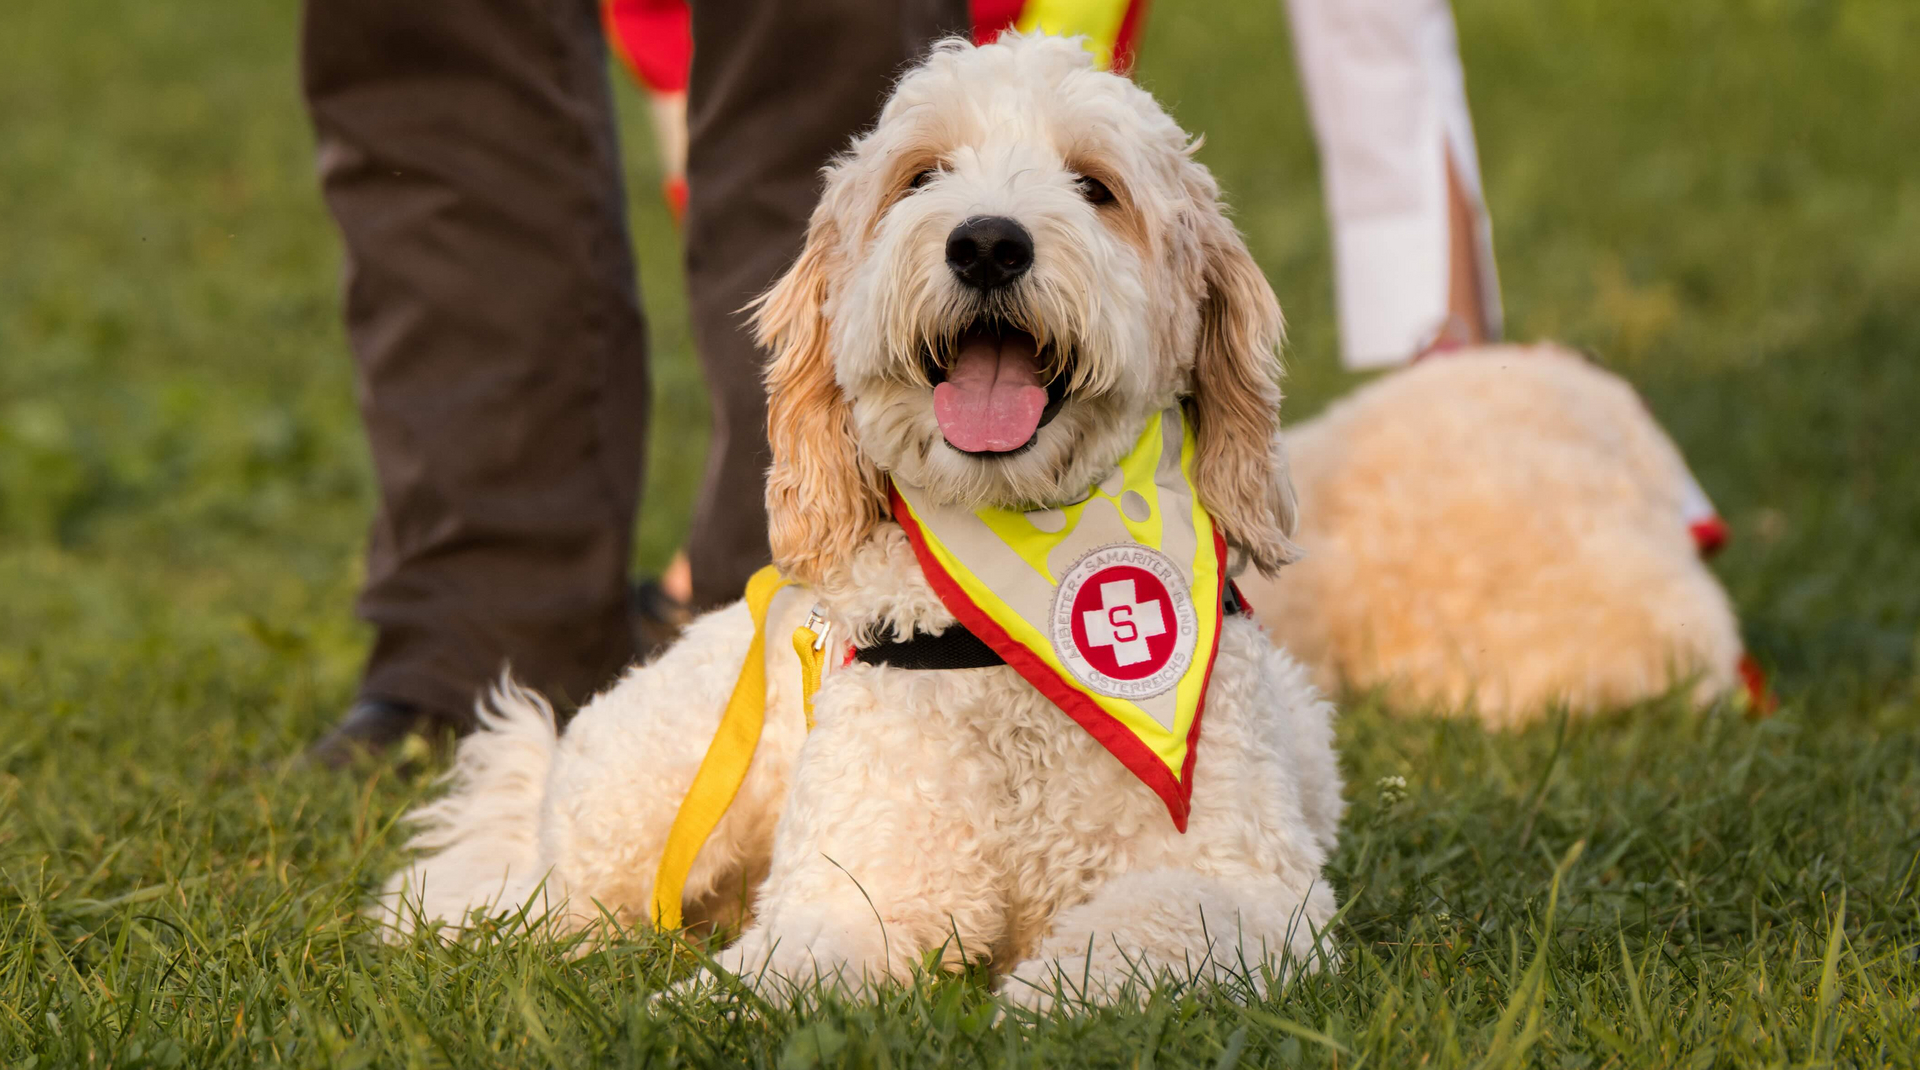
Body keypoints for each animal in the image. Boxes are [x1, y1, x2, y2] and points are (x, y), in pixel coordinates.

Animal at [370, 35, 1336, 1006]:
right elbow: (763, 980)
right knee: (528, 894)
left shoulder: (1249, 891)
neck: (1011, 613)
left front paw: (1038, 1004)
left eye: (1095, 186)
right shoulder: (855, 887)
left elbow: (1138, 935)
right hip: (637, 806)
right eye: (922, 176)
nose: (987, 244)